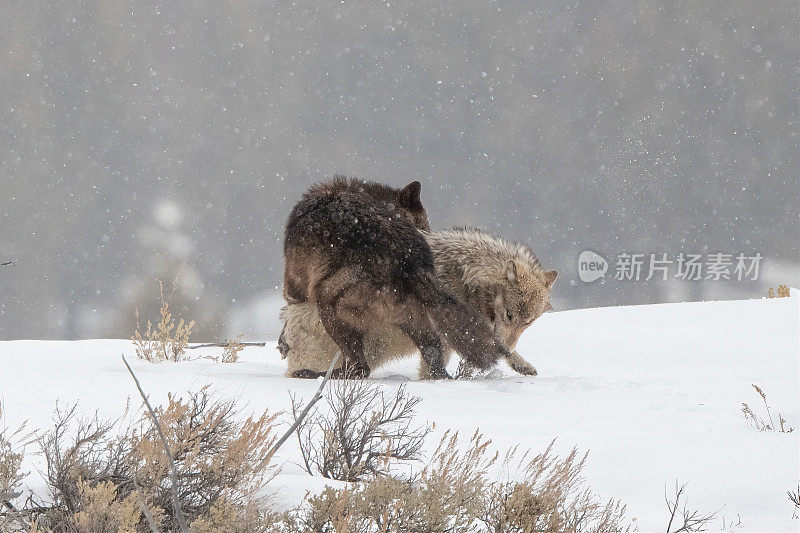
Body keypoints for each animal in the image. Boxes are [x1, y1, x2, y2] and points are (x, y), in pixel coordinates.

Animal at [284, 178, 510, 378]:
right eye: (424, 224)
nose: (430, 237)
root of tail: (410, 263)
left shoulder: (294, 283)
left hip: (330, 305)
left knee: (361, 367)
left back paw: (312, 374)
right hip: (415, 319)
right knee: (433, 356)